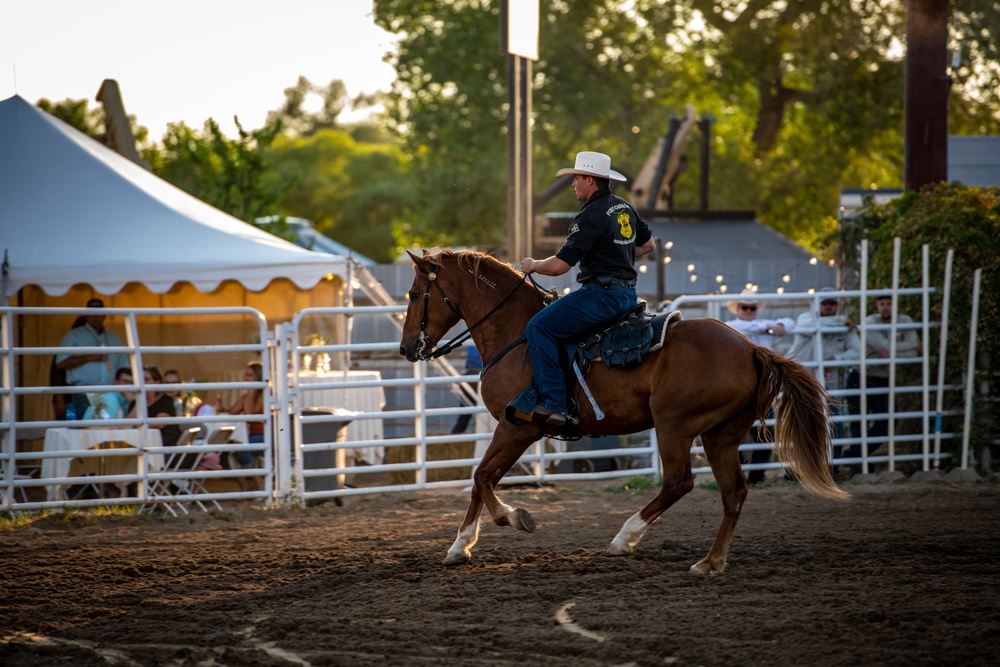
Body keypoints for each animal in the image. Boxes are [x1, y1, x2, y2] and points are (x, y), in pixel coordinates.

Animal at [400, 250, 852, 576]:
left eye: (415, 294)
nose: (406, 348)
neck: (518, 334)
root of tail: (751, 348)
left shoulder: (517, 428)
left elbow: (482, 477)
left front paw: (514, 518)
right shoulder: (514, 430)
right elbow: (482, 479)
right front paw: (460, 546)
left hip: (674, 426)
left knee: (679, 482)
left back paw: (625, 537)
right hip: (721, 435)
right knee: (733, 493)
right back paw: (709, 562)